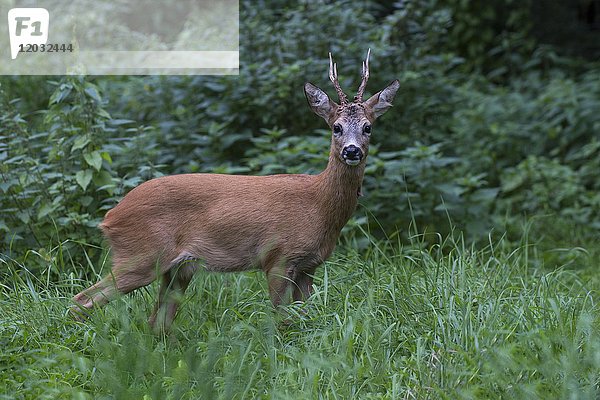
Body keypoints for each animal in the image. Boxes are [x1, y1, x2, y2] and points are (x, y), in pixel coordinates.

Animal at [72, 50, 398, 332]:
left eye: (368, 127)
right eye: (336, 127)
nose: (352, 151)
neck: (319, 205)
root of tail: (110, 217)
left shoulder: (309, 266)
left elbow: (306, 316)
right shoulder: (277, 256)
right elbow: (282, 319)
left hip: (178, 269)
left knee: (157, 322)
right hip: (140, 255)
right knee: (83, 300)